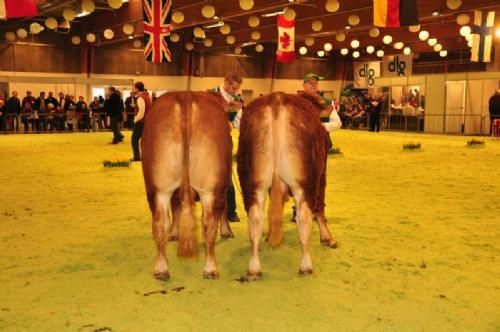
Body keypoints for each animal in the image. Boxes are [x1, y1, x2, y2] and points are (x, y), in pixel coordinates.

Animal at [141, 91, 234, 280]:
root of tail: (185, 95)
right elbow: (224, 207)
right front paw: (226, 231)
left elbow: (176, 207)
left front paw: (174, 233)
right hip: (210, 188)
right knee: (209, 221)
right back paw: (210, 268)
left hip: (158, 187)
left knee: (160, 221)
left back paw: (161, 269)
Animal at [237, 91, 338, 280]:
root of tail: (277, 97)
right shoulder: (321, 175)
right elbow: (320, 207)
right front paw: (327, 238)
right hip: (305, 182)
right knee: (304, 217)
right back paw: (306, 266)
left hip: (252, 180)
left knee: (255, 218)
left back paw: (254, 269)